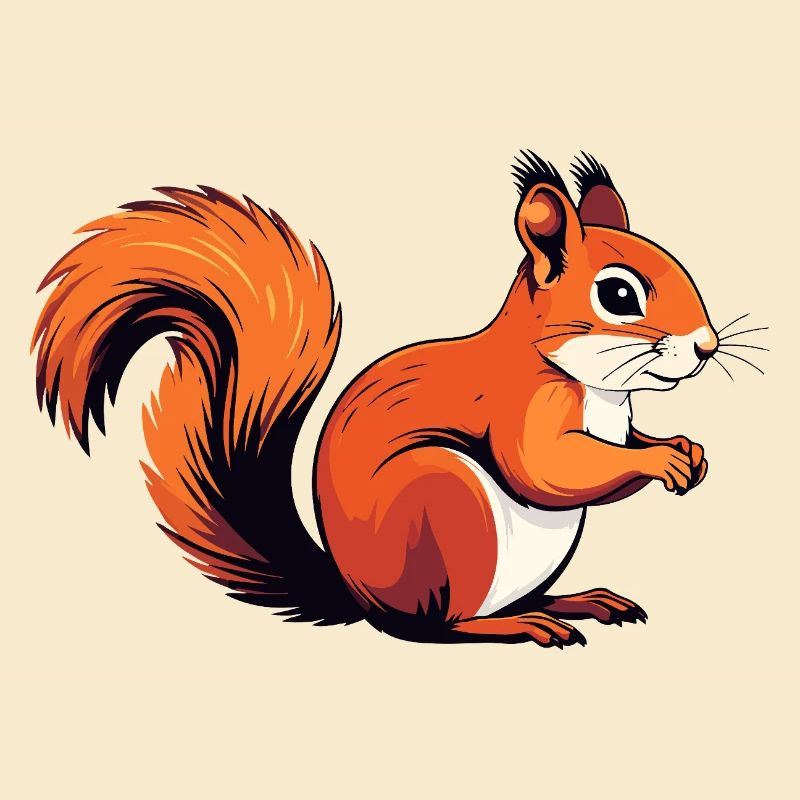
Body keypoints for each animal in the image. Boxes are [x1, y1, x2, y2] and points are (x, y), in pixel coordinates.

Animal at [32, 151, 720, 647]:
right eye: (619, 295)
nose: (707, 347)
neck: (597, 388)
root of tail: (357, 597)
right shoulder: (523, 407)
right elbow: (549, 470)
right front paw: (660, 461)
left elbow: (621, 448)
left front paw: (683, 449)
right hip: (446, 503)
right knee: (435, 627)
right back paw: (518, 625)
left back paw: (580, 601)